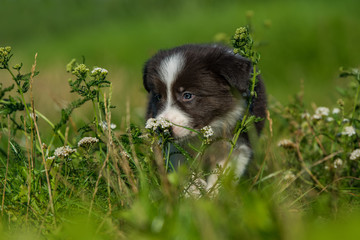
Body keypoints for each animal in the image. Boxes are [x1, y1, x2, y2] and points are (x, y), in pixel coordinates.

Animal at [142, 43, 266, 188]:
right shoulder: (176, 149)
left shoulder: (239, 146)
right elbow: (185, 171)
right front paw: (194, 191)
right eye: (158, 96)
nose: (162, 129)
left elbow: (222, 176)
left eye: (187, 95)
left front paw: (213, 192)